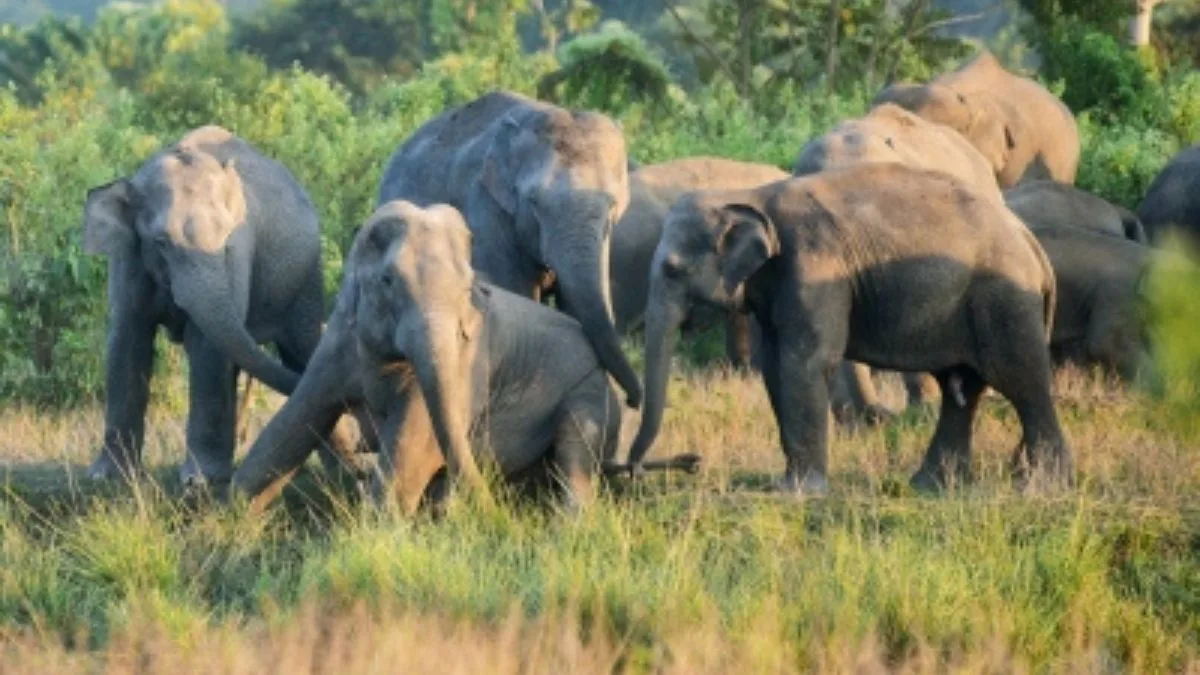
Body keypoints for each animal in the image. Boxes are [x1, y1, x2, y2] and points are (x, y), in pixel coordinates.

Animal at [81, 126, 351, 485]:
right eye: (160, 242)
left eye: (226, 239)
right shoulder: (129, 256)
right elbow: (127, 339)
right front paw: (107, 478)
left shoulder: (236, 255)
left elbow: (206, 346)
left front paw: (198, 482)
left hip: (305, 276)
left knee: (303, 350)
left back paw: (346, 471)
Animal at [232, 201, 695, 513]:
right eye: (388, 281)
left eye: (466, 287)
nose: (491, 512)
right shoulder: (340, 342)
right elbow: (293, 423)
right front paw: (230, 516)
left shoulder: (465, 360)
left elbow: (414, 449)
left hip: (592, 394)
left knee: (576, 452)